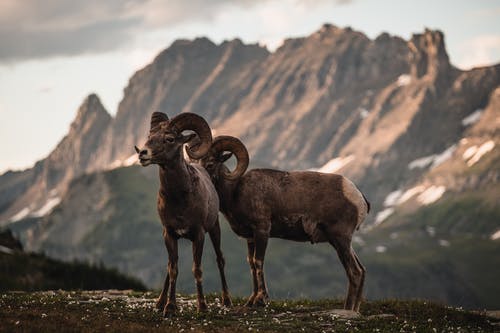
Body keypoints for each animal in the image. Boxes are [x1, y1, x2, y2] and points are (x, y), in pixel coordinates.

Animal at [135, 113, 232, 316]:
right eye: (150, 136)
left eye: (170, 139)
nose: (143, 154)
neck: (179, 199)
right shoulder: (170, 234)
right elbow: (173, 269)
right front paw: (169, 307)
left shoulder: (199, 234)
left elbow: (197, 269)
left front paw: (202, 307)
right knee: (169, 266)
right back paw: (159, 302)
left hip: (215, 229)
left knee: (220, 260)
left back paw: (227, 301)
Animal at [201, 135, 370, 312]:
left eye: (210, 163)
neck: (235, 192)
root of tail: (359, 197)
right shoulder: (250, 238)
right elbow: (252, 264)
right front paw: (251, 301)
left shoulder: (262, 231)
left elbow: (258, 261)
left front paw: (261, 300)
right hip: (340, 242)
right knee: (362, 270)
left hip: (341, 239)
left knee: (355, 272)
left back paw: (347, 309)